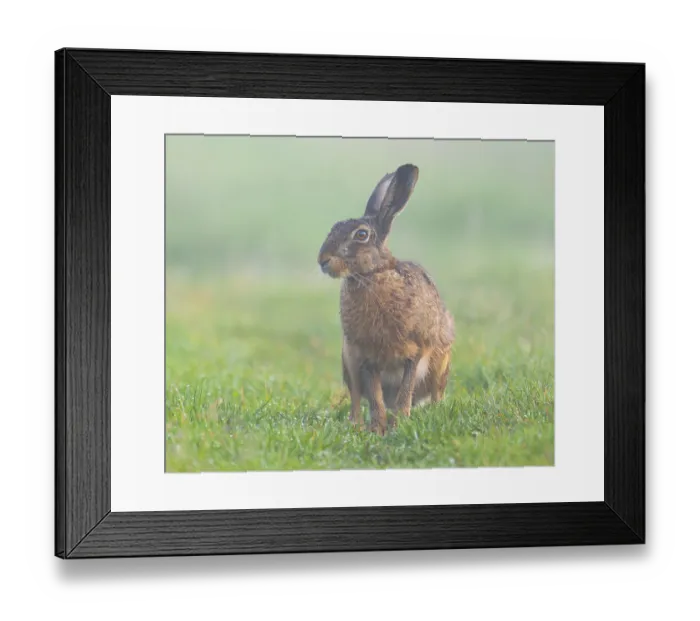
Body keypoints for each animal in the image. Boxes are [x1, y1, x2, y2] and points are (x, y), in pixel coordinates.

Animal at [317, 163, 455, 435]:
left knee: (436, 394)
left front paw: (398, 422)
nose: (322, 260)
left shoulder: (416, 351)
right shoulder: (366, 356)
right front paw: (378, 428)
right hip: (348, 359)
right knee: (357, 398)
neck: (372, 275)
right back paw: (357, 426)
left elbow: (405, 390)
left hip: (440, 360)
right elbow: (374, 397)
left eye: (361, 235)